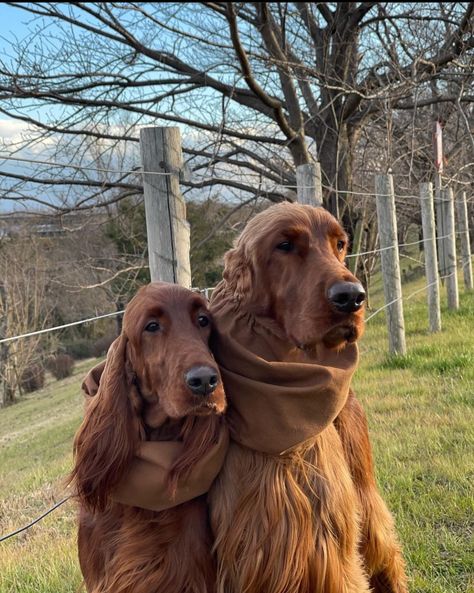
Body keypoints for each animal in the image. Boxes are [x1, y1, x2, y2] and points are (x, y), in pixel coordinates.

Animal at [209, 204, 406, 592]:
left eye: (340, 244)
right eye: (284, 245)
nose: (352, 296)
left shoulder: (332, 551)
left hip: (365, 503)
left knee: (387, 552)